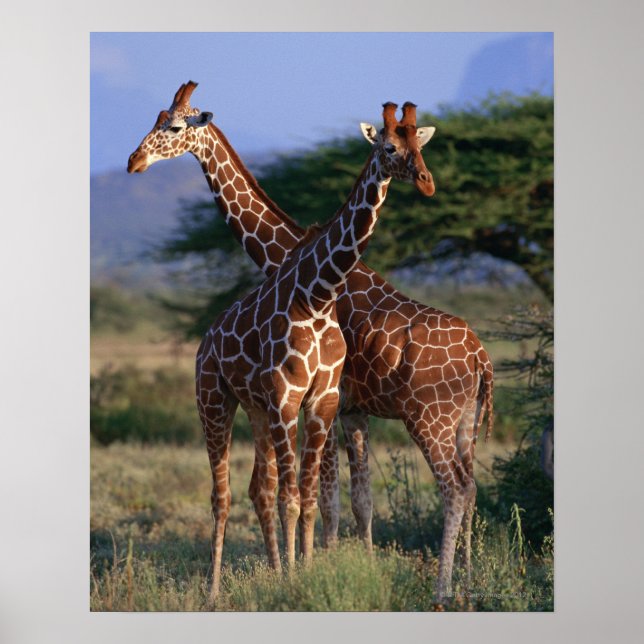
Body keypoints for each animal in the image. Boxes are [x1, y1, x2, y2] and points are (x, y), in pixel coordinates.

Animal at [127, 82, 493, 599]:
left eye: (175, 127)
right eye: (157, 121)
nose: (135, 160)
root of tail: (482, 357)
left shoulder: (334, 403)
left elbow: (330, 498)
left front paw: (324, 568)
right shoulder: (345, 408)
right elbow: (351, 500)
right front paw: (341, 566)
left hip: (430, 417)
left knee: (455, 488)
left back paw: (444, 588)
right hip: (463, 422)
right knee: (472, 487)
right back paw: (466, 579)